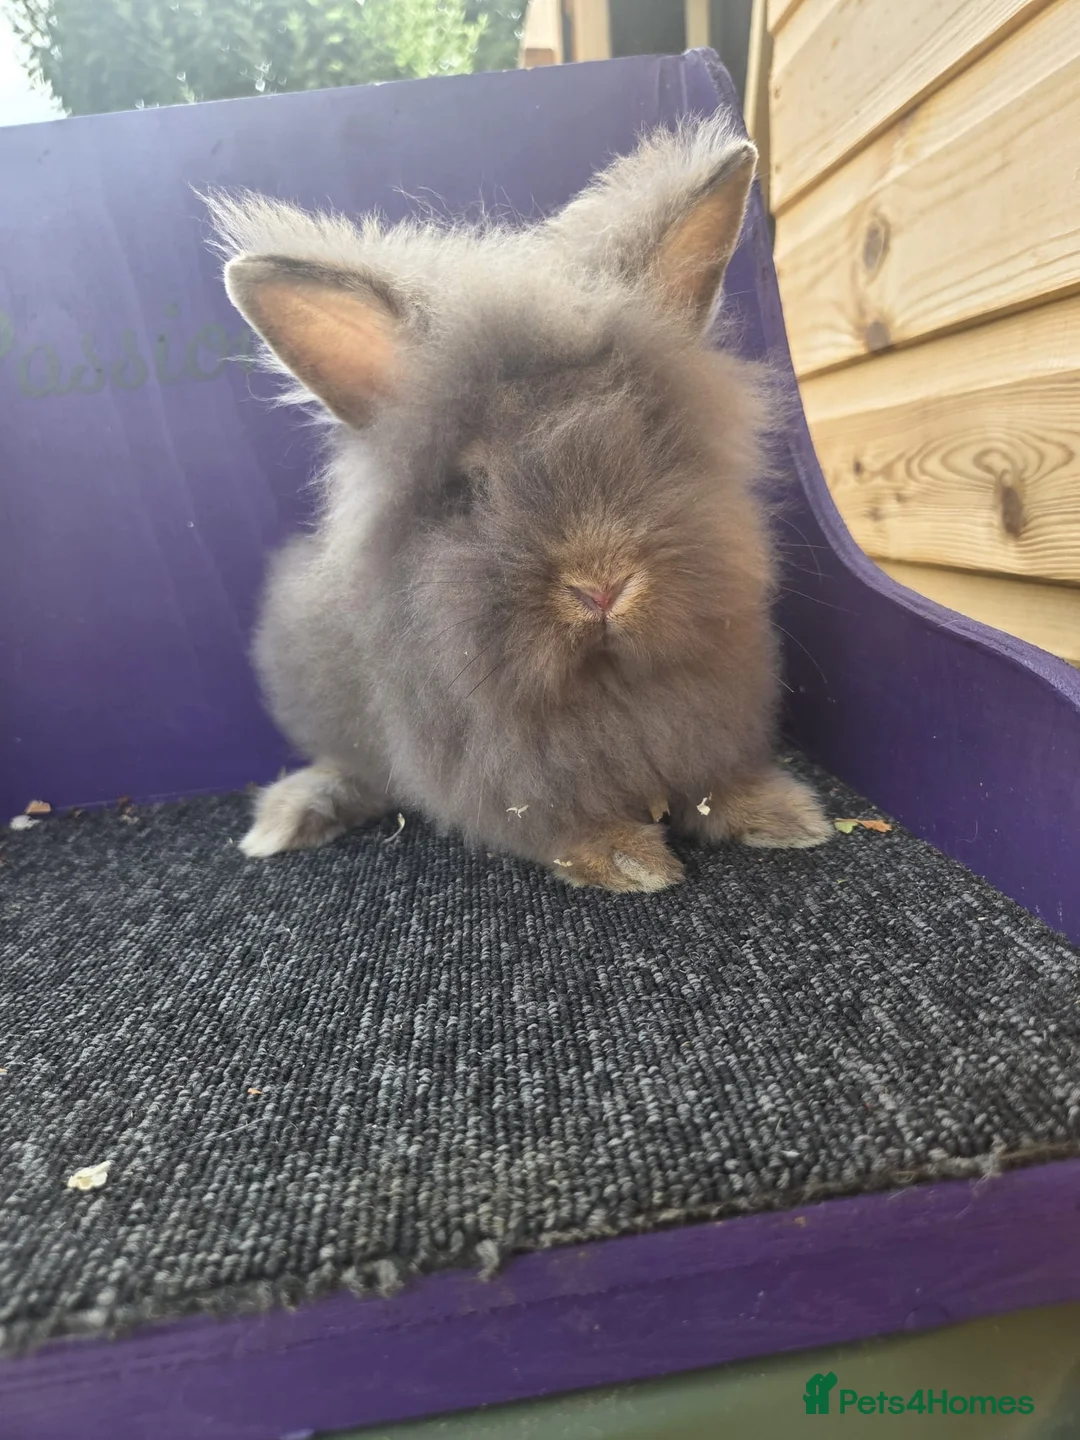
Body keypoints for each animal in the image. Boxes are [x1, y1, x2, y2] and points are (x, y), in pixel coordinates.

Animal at [209, 112, 831, 894]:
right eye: (474, 489)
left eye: (653, 442)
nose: (602, 586)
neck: (604, 686)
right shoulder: (504, 782)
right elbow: (562, 827)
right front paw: (630, 861)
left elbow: (720, 786)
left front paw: (788, 818)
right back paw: (287, 818)